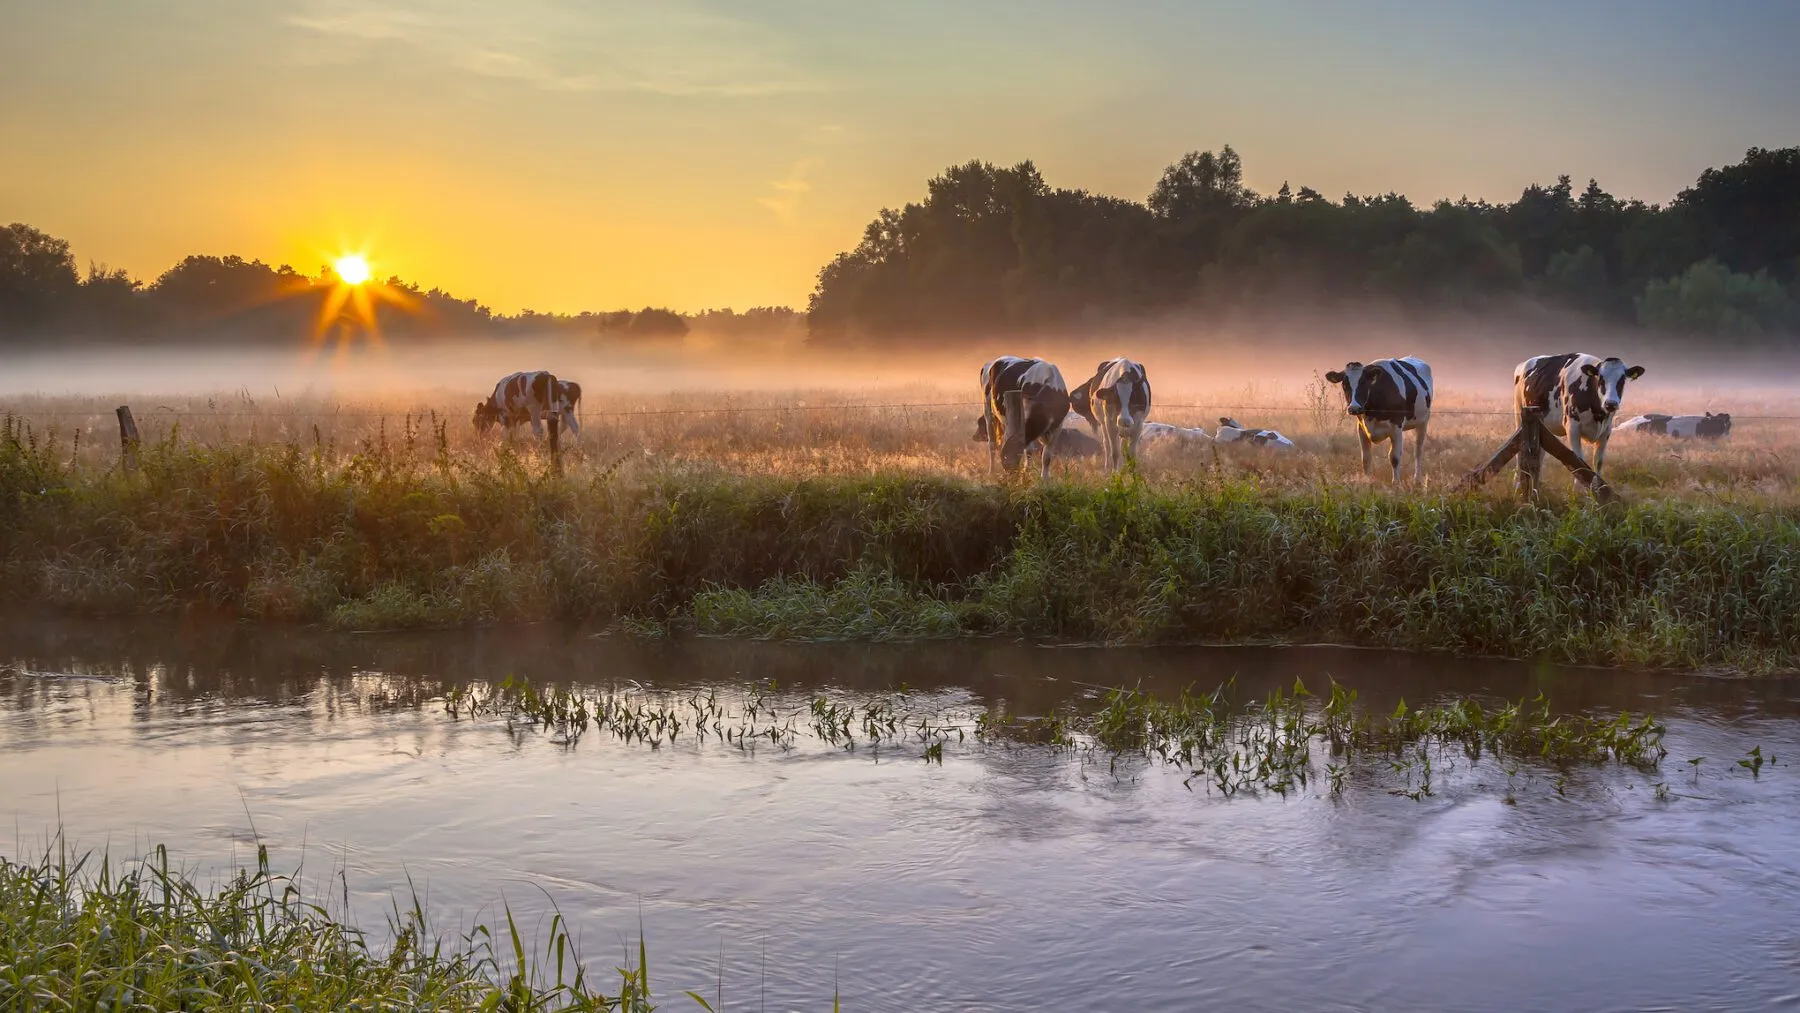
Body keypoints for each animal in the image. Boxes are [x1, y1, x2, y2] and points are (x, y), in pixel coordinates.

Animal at [1519, 354, 1648, 478]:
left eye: (1622, 380)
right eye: (1601, 378)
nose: (1611, 404)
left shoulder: (1606, 431)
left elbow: (1598, 462)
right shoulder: (1572, 428)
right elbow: (1579, 463)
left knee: (1540, 454)